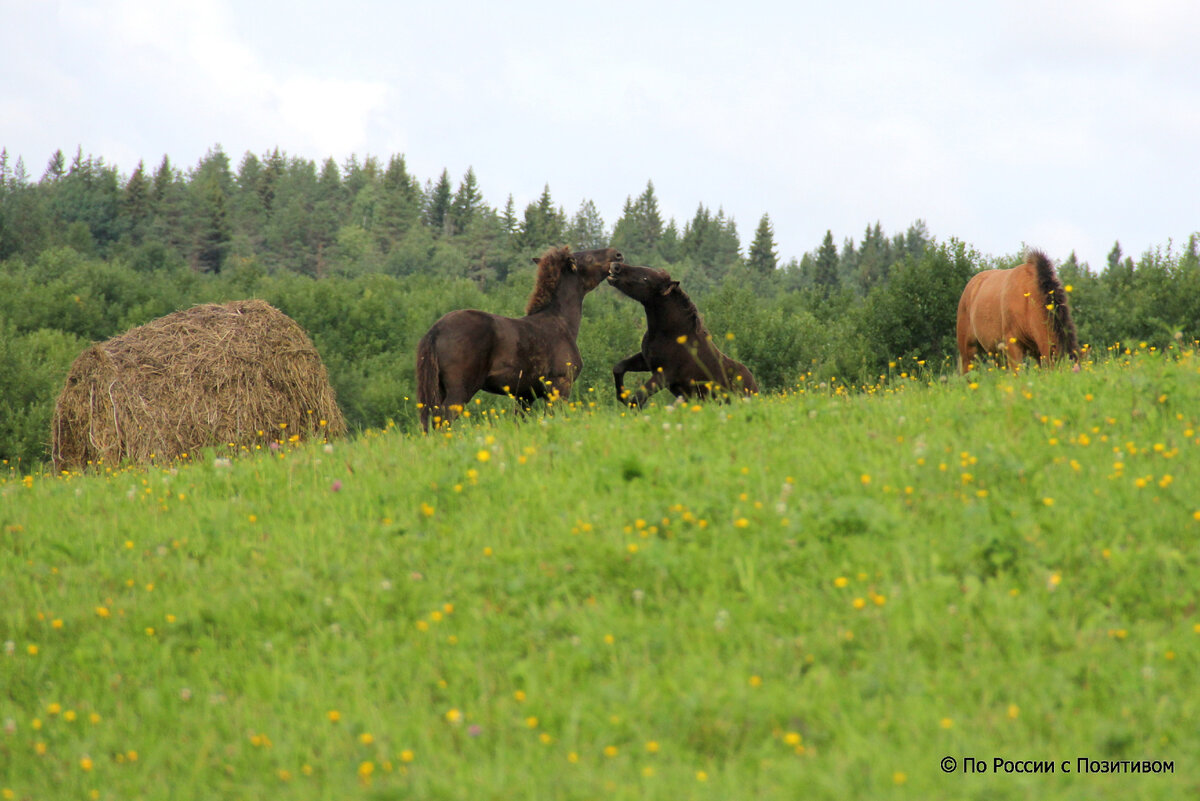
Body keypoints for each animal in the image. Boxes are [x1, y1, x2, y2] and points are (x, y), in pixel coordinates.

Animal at [415, 245, 624, 429]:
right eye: (588, 258)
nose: (618, 255)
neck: (560, 321)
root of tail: (436, 330)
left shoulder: (524, 396)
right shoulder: (560, 386)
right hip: (460, 391)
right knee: (442, 420)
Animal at [609, 262, 758, 407]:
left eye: (645, 278)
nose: (615, 266)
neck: (670, 334)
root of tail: (755, 389)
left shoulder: (665, 374)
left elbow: (639, 397)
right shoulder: (646, 362)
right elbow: (618, 368)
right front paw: (622, 397)